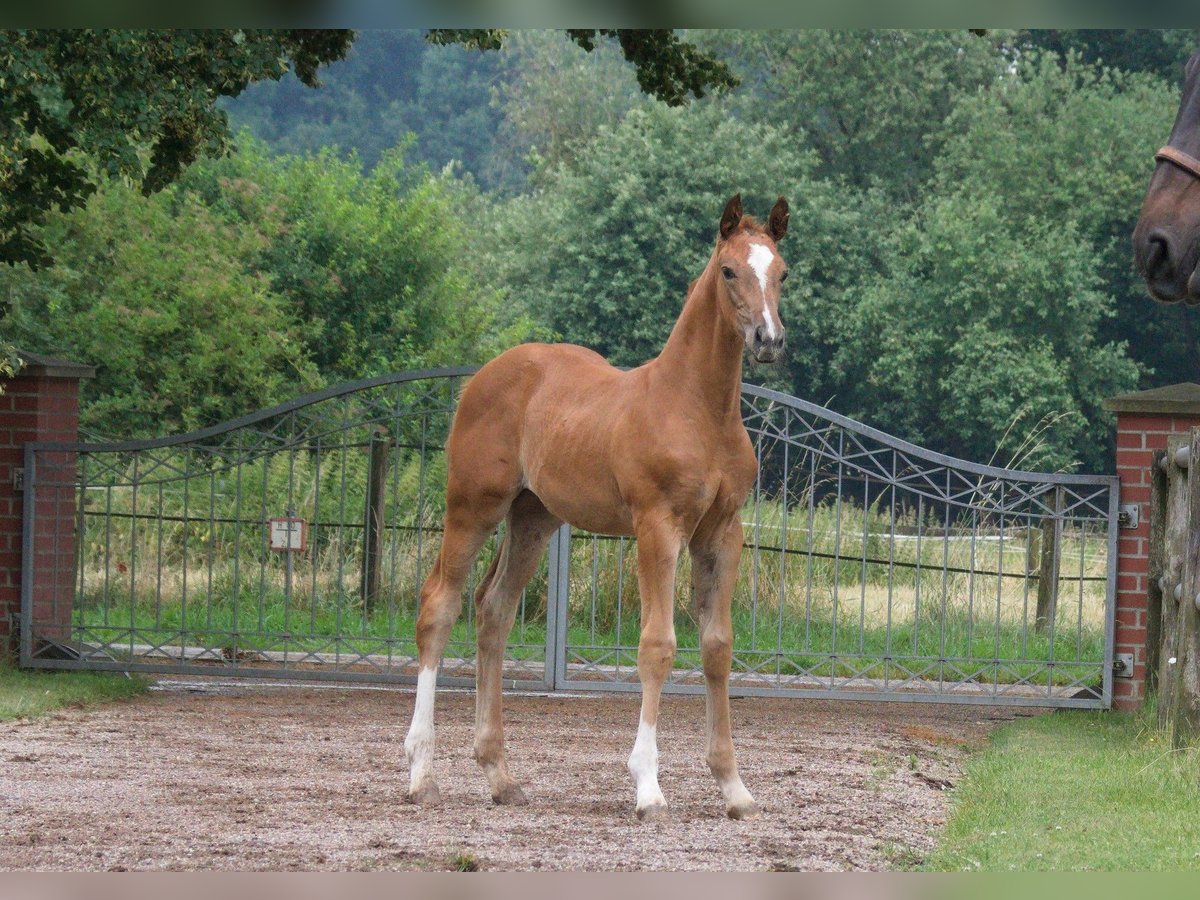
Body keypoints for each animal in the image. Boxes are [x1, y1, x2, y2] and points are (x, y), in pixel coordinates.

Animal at [408, 196, 787, 825]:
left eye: (781, 272)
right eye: (730, 270)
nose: (768, 339)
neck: (696, 408)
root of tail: (482, 376)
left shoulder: (722, 534)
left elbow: (717, 648)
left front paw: (734, 786)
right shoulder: (657, 526)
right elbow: (658, 646)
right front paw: (648, 788)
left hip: (533, 518)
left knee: (493, 611)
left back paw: (500, 776)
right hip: (472, 505)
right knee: (440, 604)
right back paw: (420, 774)